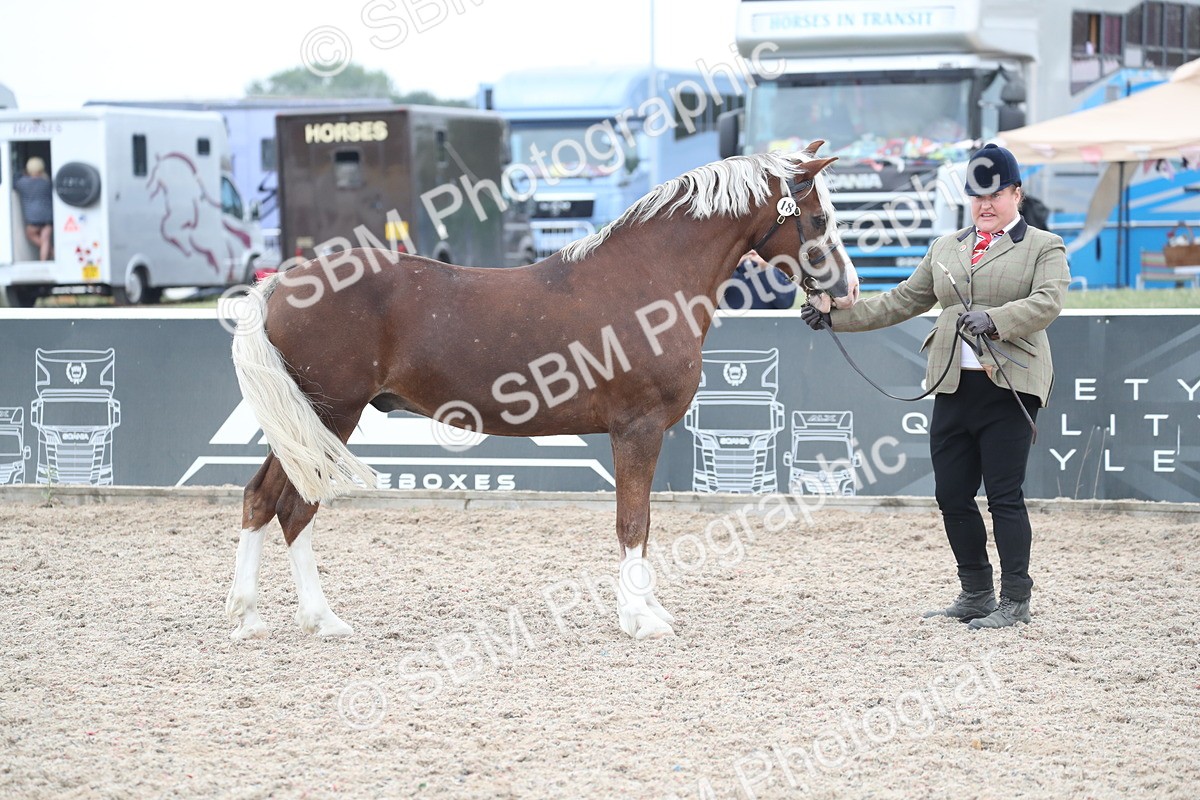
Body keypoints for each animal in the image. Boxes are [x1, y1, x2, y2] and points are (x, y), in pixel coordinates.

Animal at [226, 143, 858, 642]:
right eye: (818, 216)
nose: (848, 289)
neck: (649, 278)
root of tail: (282, 285)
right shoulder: (637, 429)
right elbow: (633, 524)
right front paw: (641, 619)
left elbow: (645, 522)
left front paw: (648, 609)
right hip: (329, 416)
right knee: (294, 507)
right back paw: (320, 619)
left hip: (303, 425)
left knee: (261, 498)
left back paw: (252, 617)